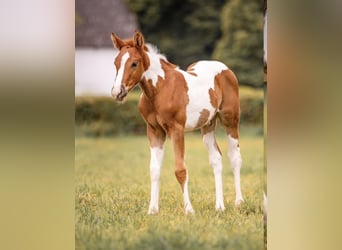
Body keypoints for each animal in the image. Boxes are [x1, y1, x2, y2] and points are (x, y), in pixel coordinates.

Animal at [110, 30, 243, 215]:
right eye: (115, 63)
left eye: (134, 63)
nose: (117, 92)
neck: (160, 89)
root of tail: (225, 68)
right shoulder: (154, 131)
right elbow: (154, 170)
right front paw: (152, 210)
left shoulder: (176, 130)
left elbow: (180, 170)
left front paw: (189, 210)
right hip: (208, 125)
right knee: (216, 159)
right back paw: (219, 206)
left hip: (230, 121)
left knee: (235, 157)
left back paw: (238, 202)